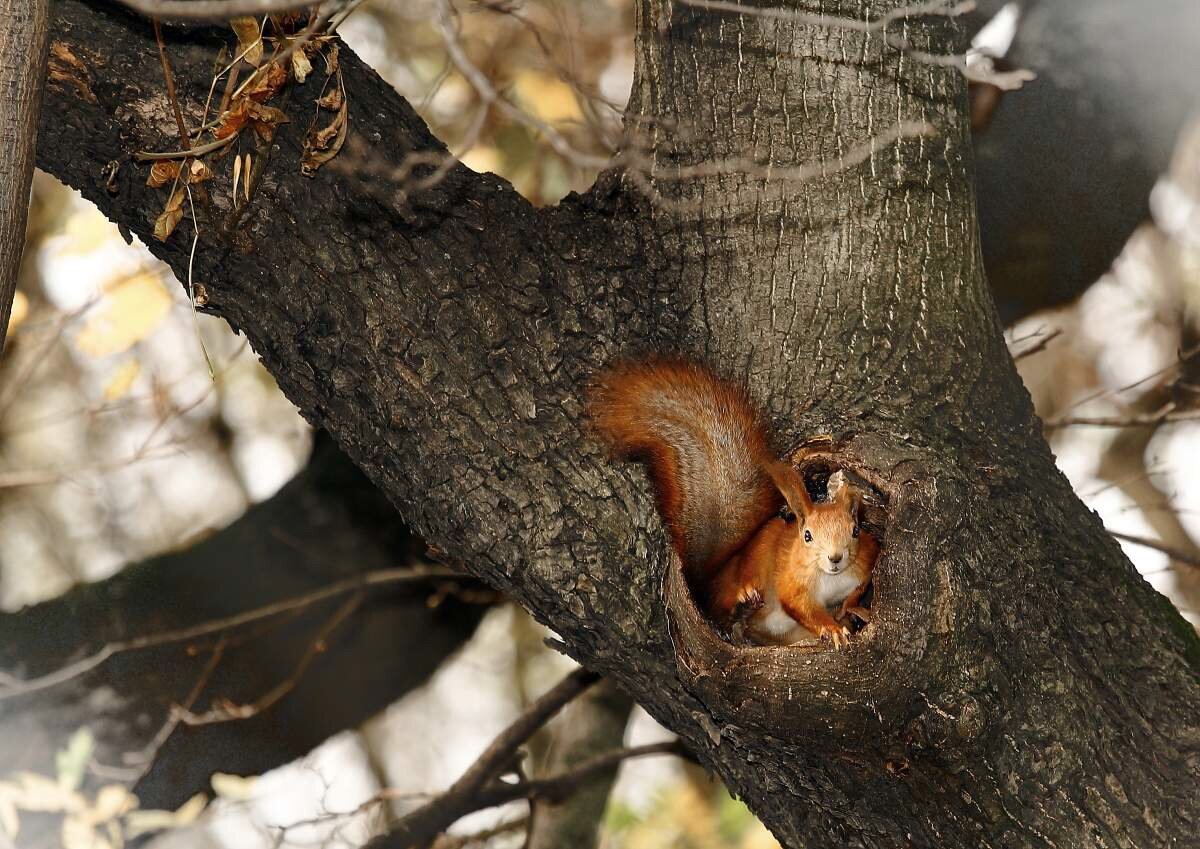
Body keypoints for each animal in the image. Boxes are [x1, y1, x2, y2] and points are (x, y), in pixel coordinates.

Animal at [592, 359, 883, 652]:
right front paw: (832, 628)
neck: (831, 578)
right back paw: (743, 600)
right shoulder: (793, 579)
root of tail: (712, 581)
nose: (835, 557)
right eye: (807, 535)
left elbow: (859, 587)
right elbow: (799, 606)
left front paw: (851, 609)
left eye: (855, 530)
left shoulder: (865, 561)